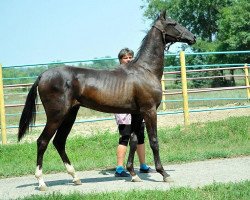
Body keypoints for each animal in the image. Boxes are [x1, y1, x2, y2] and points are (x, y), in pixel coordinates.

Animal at [18, 10, 195, 191]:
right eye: (173, 24)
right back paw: (41, 182)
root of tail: (42, 75)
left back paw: (75, 177)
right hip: (56, 116)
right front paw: (164, 174)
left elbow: (133, 140)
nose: (193, 37)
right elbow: (154, 141)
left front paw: (133, 174)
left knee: (59, 142)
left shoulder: (137, 114)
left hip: (69, 115)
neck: (146, 70)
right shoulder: (149, 111)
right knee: (42, 141)